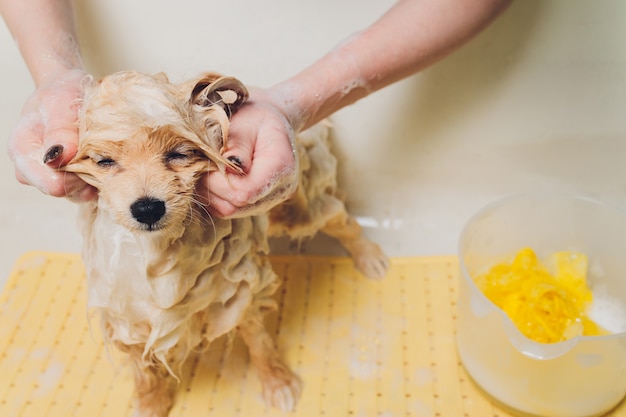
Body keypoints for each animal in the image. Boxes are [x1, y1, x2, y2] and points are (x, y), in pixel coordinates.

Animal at [62, 70, 386, 414]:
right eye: (104, 161)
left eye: (179, 154)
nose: (147, 208)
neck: (160, 252)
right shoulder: (125, 310)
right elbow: (143, 370)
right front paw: (151, 403)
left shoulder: (239, 290)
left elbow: (259, 342)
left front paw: (278, 384)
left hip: (302, 208)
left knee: (343, 221)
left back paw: (370, 258)